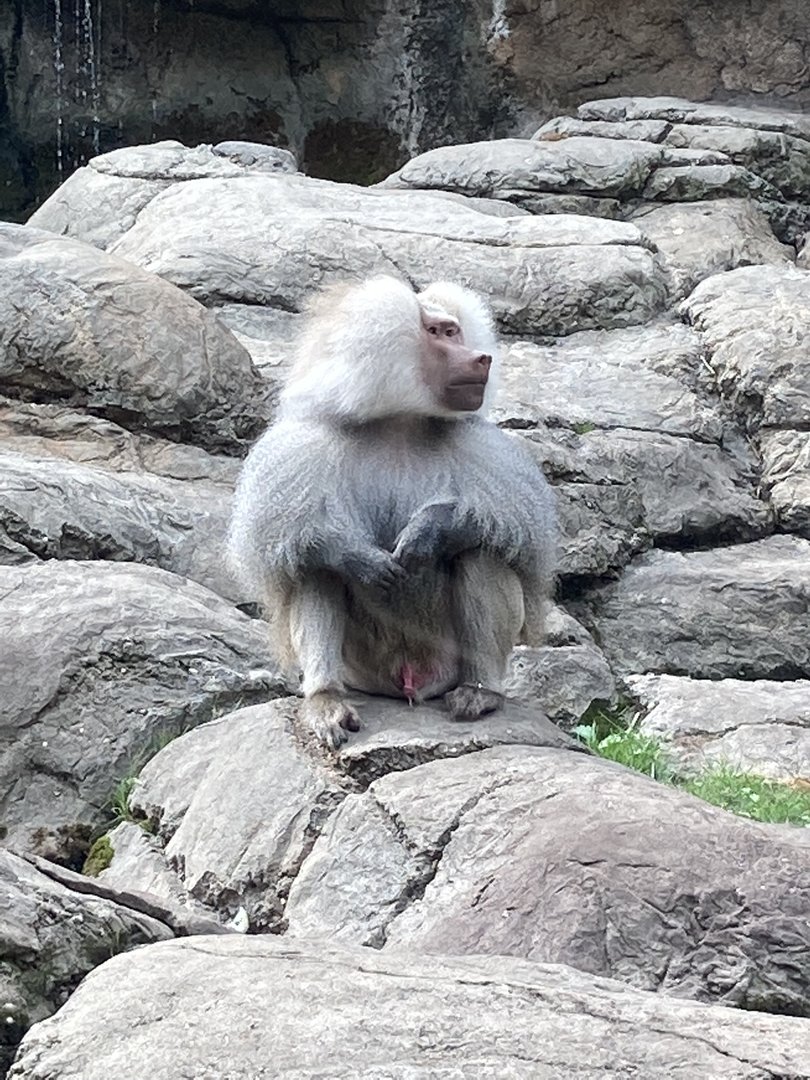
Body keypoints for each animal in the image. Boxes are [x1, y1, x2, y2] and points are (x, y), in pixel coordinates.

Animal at [227, 275, 557, 749]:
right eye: (438, 333)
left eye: (455, 331)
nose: (482, 358)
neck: (401, 421)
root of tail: (408, 684)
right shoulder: (302, 447)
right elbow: (297, 540)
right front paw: (361, 559)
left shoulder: (486, 449)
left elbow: (517, 536)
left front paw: (429, 531)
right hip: (361, 670)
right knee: (314, 564)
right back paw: (326, 702)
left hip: (445, 661)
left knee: (481, 551)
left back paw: (480, 693)